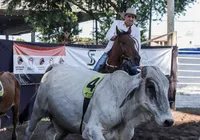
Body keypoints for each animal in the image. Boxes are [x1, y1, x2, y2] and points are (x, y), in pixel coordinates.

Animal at [23, 64, 173, 140]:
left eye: (167, 88)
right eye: (150, 86)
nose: (169, 121)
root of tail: (55, 66)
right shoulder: (91, 130)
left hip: (62, 124)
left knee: (50, 132)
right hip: (39, 108)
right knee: (29, 130)